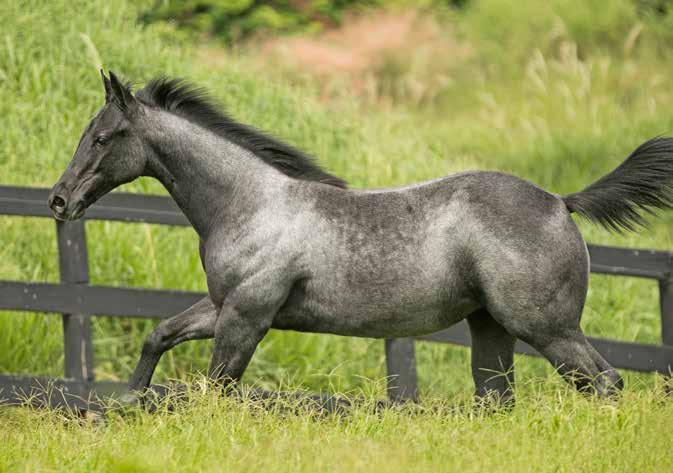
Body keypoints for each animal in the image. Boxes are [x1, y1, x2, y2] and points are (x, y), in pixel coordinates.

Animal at [50, 71, 672, 406]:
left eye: (102, 138)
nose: (59, 200)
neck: (251, 205)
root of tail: (559, 202)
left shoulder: (246, 317)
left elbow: (216, 389)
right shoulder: (225, 307)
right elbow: (158, 336)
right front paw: (127, 404)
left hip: (546, 328)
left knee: (605, 382)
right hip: (492, 329)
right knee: (499, 400)